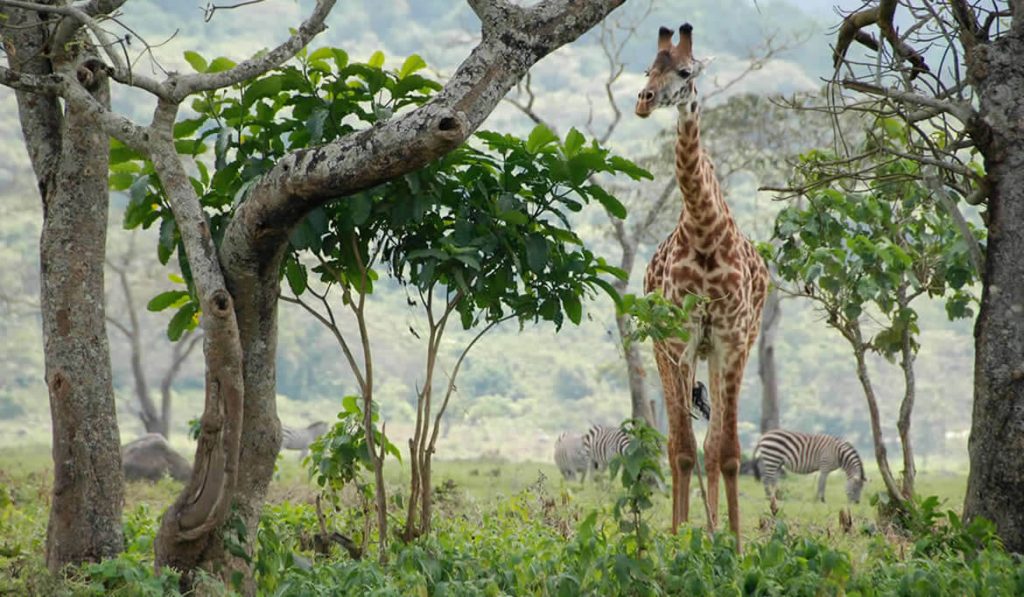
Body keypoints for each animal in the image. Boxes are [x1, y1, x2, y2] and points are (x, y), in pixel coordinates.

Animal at [630, 24, 770, 544]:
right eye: (647, 69)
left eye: (686, 72)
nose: (644, 101)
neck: (706, 229)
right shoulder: (678, 338)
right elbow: (684, 449)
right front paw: (679, 539)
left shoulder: (732, 338)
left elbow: (725, 451)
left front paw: (732, 541)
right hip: (664, 350)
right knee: (680, 445)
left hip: (723, 350)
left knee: (713, 444)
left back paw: (713, 531)